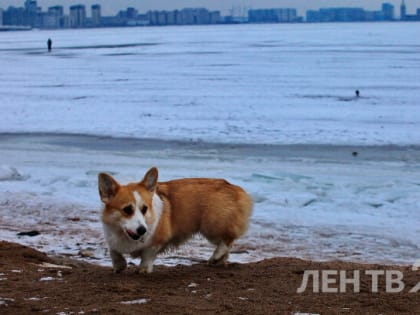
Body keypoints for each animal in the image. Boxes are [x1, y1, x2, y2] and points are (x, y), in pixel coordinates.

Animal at [98, 168, 253, 274]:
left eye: (144, 209)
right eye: (127, 209)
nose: (143, 230)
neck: (124, 234)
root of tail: (234, 187)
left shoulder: (157, 242)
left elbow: (147, 255)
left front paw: (143, 270)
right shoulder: (111, 237)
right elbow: (113, 251)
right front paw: (119, 265)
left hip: (211, 226)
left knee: (227, 240)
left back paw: (216, 256)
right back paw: (219, 260)